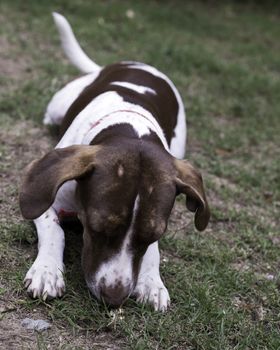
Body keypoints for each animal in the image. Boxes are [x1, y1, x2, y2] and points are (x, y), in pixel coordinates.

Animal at [18, 13, 209, 312]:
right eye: (98, 228)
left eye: (151, 235)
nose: (114, 299)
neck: (129, 127)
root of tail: (136, 63)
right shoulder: (46, 200)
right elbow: (54, 231)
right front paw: (47, 271)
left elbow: (153, 253)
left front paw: (152, 281)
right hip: (59, 105)